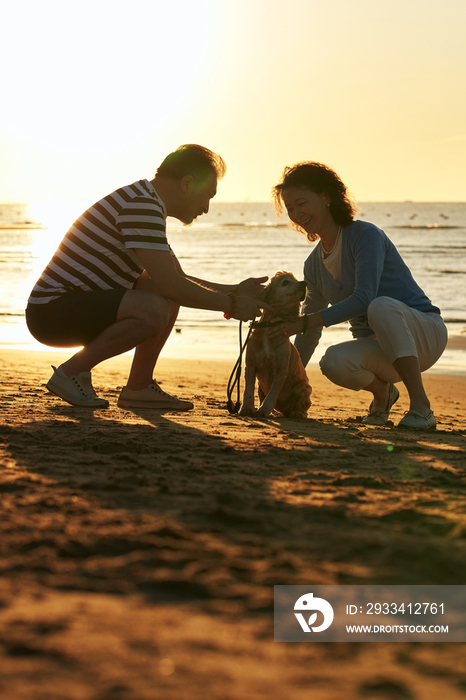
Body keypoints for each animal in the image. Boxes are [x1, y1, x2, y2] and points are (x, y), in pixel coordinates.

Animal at [238, 270, 312, 418]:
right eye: (285, 282)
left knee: (303, 408)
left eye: (296, 279)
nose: (304, 283)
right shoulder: (250, 364)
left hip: (304, 388)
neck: (269, 325)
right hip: (261, 388)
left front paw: (264, 410)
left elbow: (272, 393)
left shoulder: (280, 369)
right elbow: (248, 390)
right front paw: (246, 408)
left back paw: (297, 413)